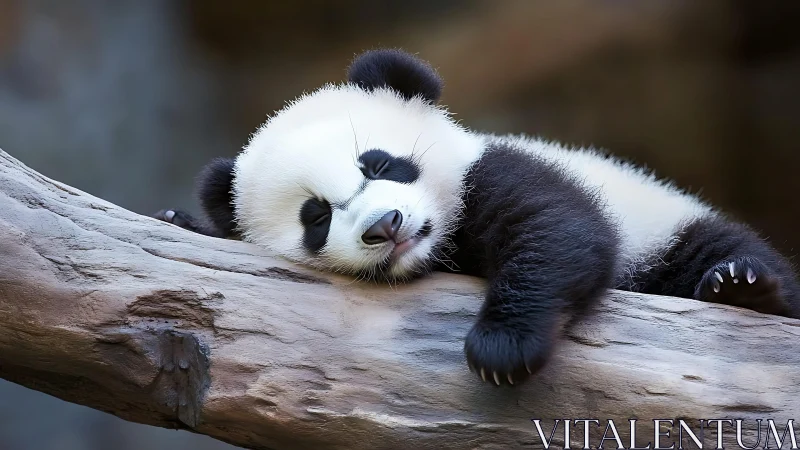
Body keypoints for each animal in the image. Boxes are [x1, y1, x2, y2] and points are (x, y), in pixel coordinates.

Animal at [154, 49, 800, 387]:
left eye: (380, 163)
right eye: (316, 217)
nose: (385, 225)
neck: (437, 250)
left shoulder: (492, 171)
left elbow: (555, 230)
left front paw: (502, 347)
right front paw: (180, 220)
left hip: (664, 221)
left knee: (716, 249)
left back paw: (739, 284)